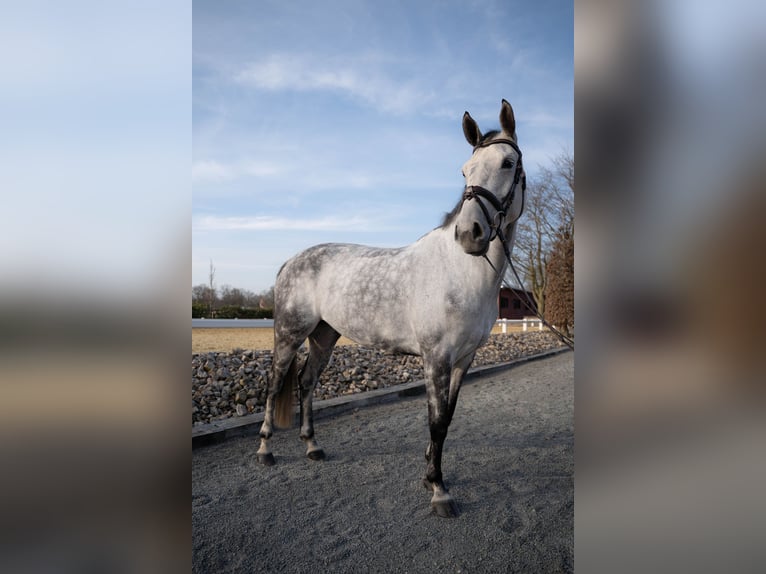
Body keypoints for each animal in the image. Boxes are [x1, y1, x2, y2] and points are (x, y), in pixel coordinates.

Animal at [258, 101, 528, 520]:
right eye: (465, 170)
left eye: (507, 162)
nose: (469, 234)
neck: (461, 271)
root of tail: (291, 261)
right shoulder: (435, 357)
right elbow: (436, 420)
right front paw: (438, 490)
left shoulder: (463, 359)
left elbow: (448, 417)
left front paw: (430, 473)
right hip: (289, 335)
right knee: (274, 385)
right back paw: (265, 450)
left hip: (324, 336)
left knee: (306, 382)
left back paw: (312, 447)